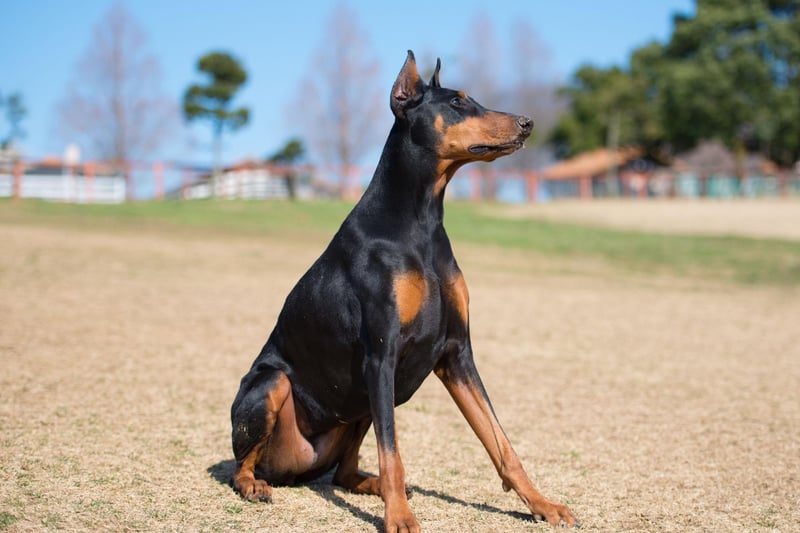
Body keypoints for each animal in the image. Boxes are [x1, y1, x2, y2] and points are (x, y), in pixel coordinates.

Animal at [230, 51, 576, 532]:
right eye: (458, 102)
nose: (526, 123)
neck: (422, 220)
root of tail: (293, 471)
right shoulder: (382, 354)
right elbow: (392, 450)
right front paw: (399, 517)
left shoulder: (456, 352)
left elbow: (500, 441)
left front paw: (541, 503)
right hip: (273, 384)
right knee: (243, 461)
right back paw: (254, 485)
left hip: (356, 406)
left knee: (344, 472)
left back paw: (371, 485)